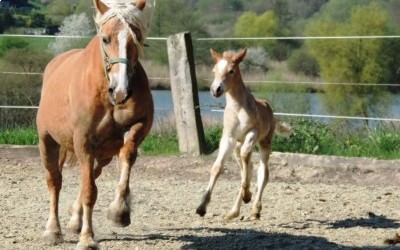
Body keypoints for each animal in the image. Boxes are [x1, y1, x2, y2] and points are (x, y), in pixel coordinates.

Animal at [35, 0, 153, 248]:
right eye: (105, 39)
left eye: (136, 37)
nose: (121, 91)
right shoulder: (84, 142)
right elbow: (89, 192)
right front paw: (87, 239)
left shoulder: (138, 126)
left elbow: (126, 156)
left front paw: (119, 212)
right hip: (48, 142)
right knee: (55, 181)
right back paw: (53, 230)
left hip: (103, 154)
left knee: (92, 176)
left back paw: (74, 220)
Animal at [195, 47, 290, 220]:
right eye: (214, 70)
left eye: (231, 71)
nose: (215, 90)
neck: (237, 108)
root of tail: (268, 106)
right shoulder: (228, 138)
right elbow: (217, 167)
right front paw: (201, 207)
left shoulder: (252, 132)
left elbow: (248, 160)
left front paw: (247, 195)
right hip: (237, 147)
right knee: (247, 168)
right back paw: (234, 211)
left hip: (264, 143)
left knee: (263, 173)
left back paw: (255, 209)